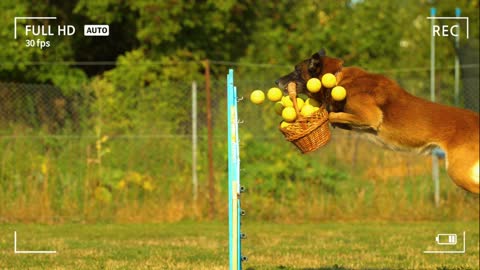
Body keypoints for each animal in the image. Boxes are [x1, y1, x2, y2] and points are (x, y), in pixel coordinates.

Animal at [276, 49, 478, 193]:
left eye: (296, 70)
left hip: (458, 172)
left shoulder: (370, 116)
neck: (337, 77)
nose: (276, 81)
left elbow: (331, 114)